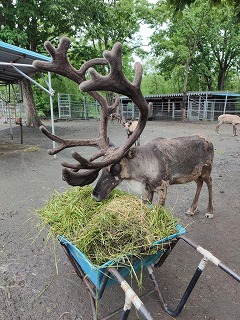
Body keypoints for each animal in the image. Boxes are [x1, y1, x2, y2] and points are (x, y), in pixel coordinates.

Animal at [33, 37, 214, 218]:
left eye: (115, 167)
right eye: (101, 167)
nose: (95, 195)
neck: (141, 171)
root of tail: (209, 141)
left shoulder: (163, 185)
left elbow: (159, 209)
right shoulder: (147, 191)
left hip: (207, 168)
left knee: (209, 182)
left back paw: (209, 211)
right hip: (196, 172)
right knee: (199, 183)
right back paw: (192, 208)